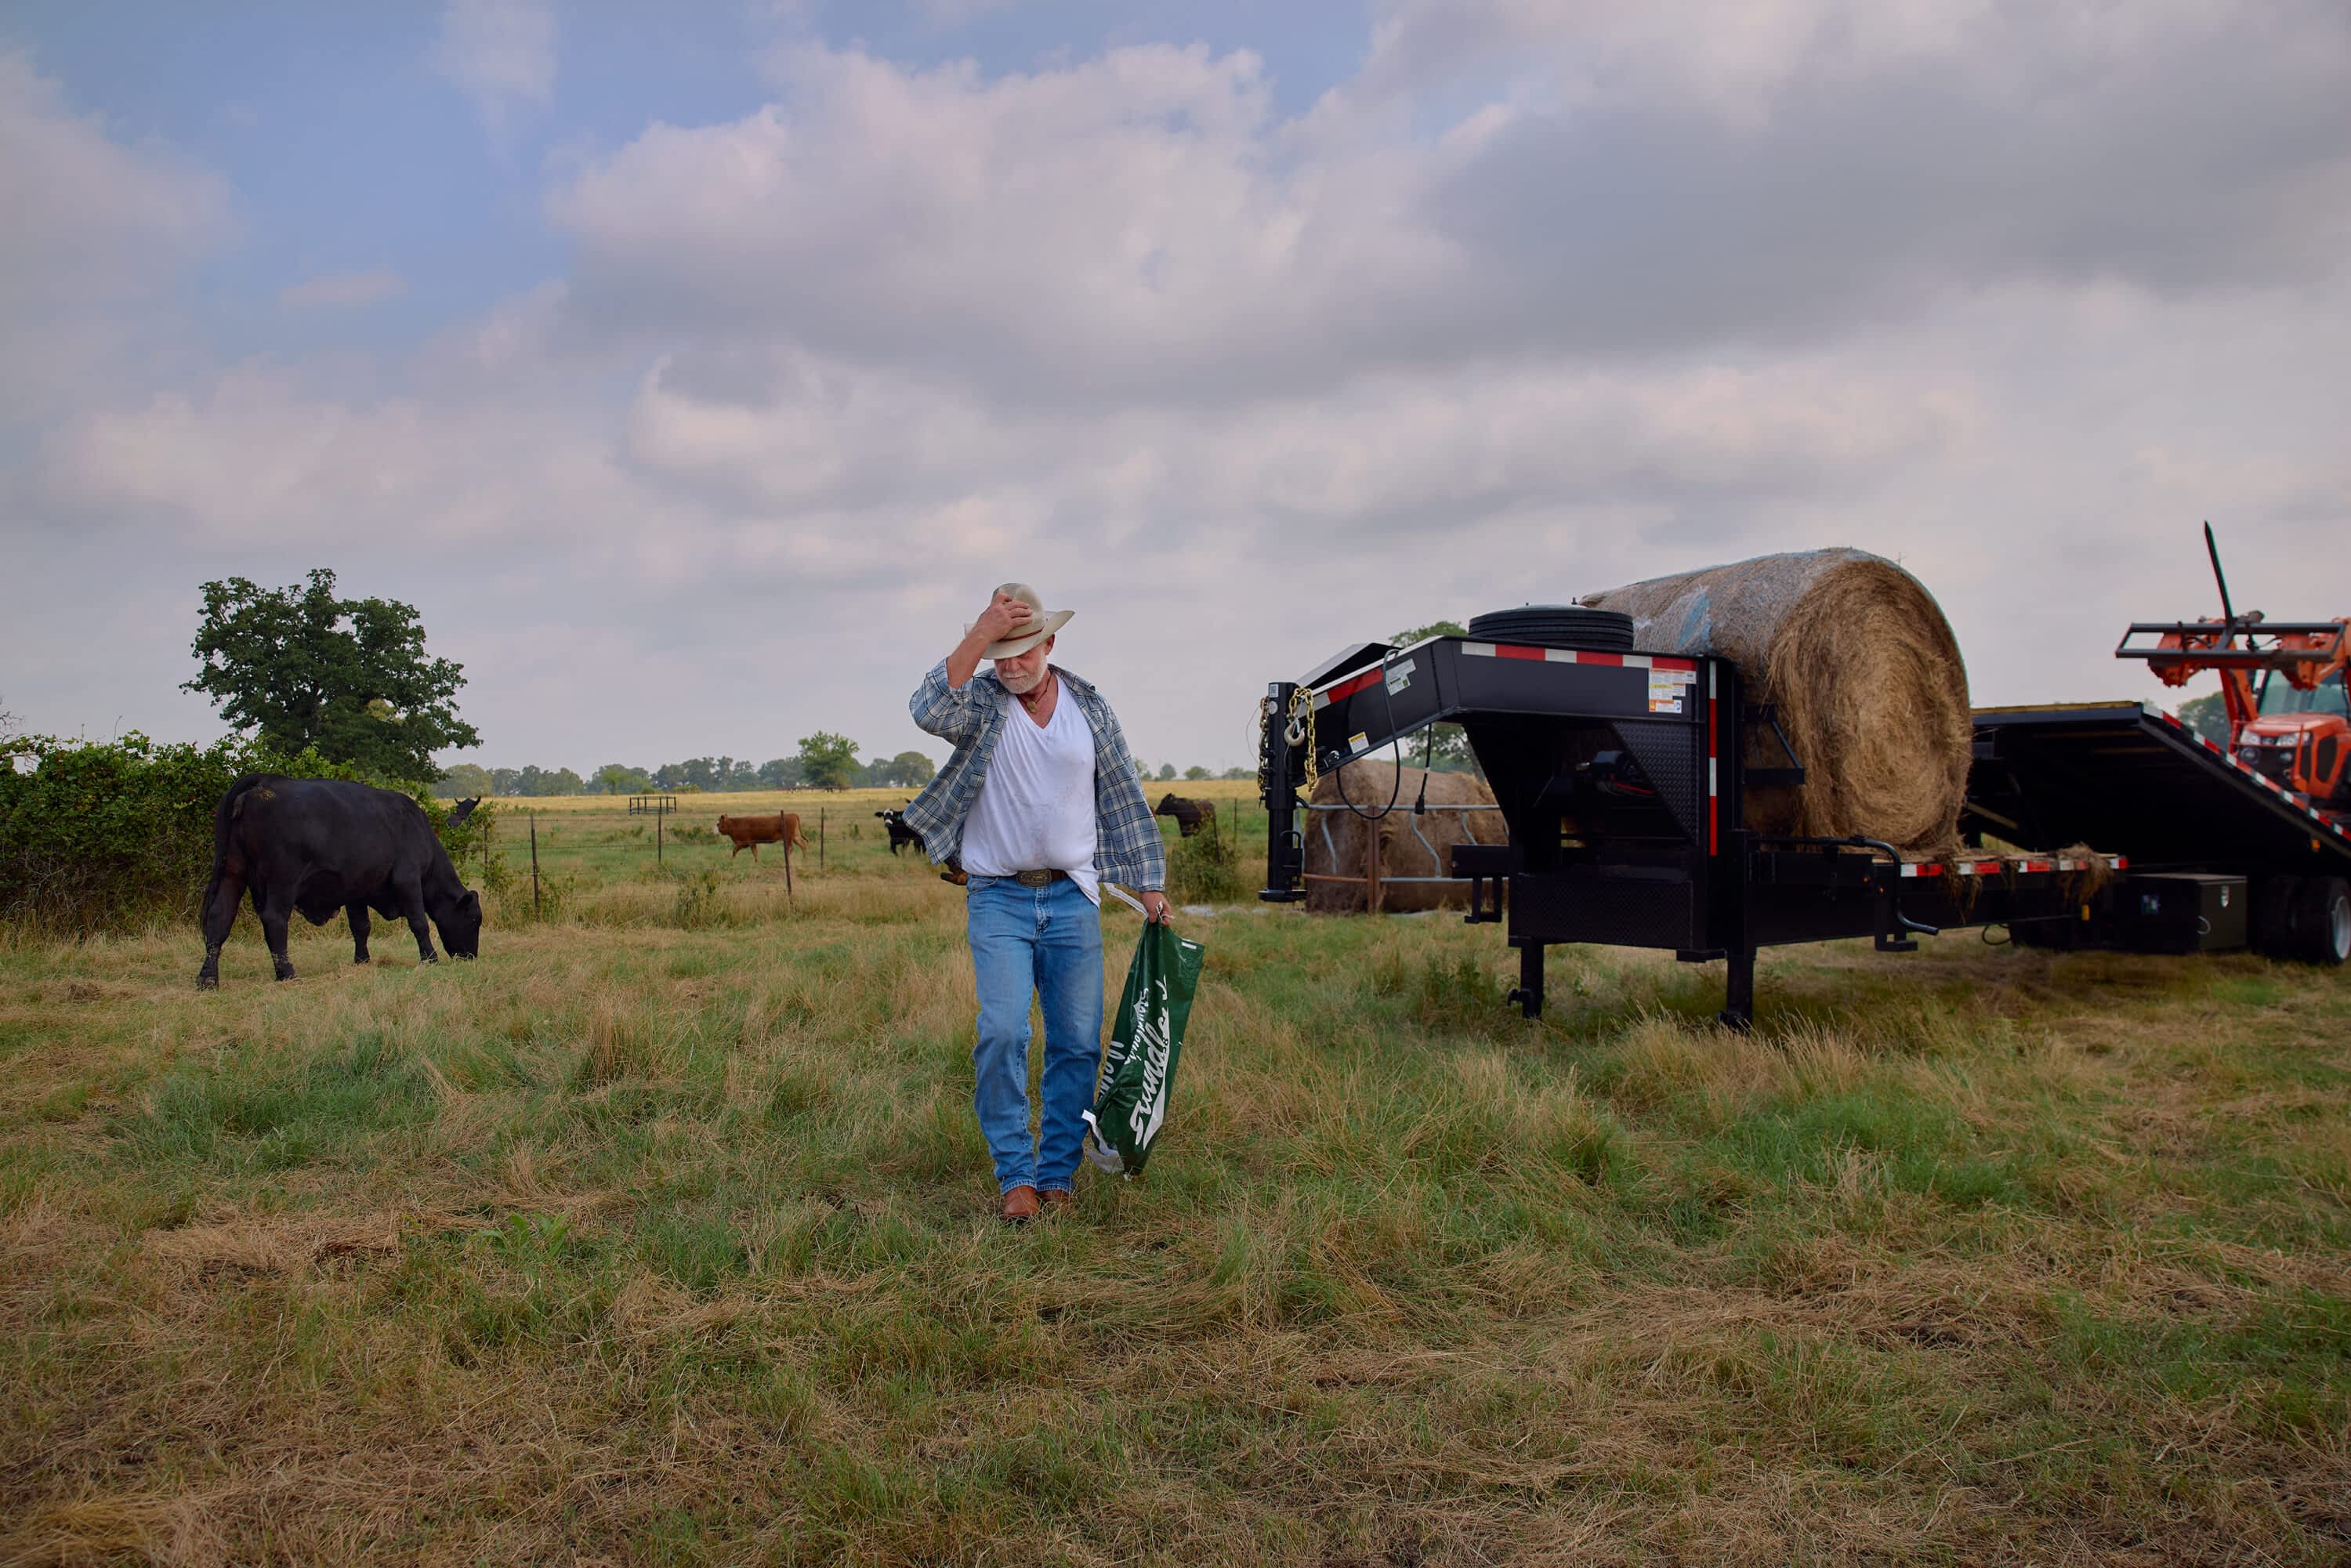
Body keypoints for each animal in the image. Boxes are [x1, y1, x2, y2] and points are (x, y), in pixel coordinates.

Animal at [197, 775, 482, 988]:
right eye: (473, 919)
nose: (471, 957)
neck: (418, 831)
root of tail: (264, 782)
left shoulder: (357, 892)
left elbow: (361, 927)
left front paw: (362, 961)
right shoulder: (408, 881)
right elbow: (419, 923)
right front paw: (430, 958)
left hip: (232, 874)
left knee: (219, 918)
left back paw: (208, 979)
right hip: (283, 881)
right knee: (274, 920)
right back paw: (287, 973)